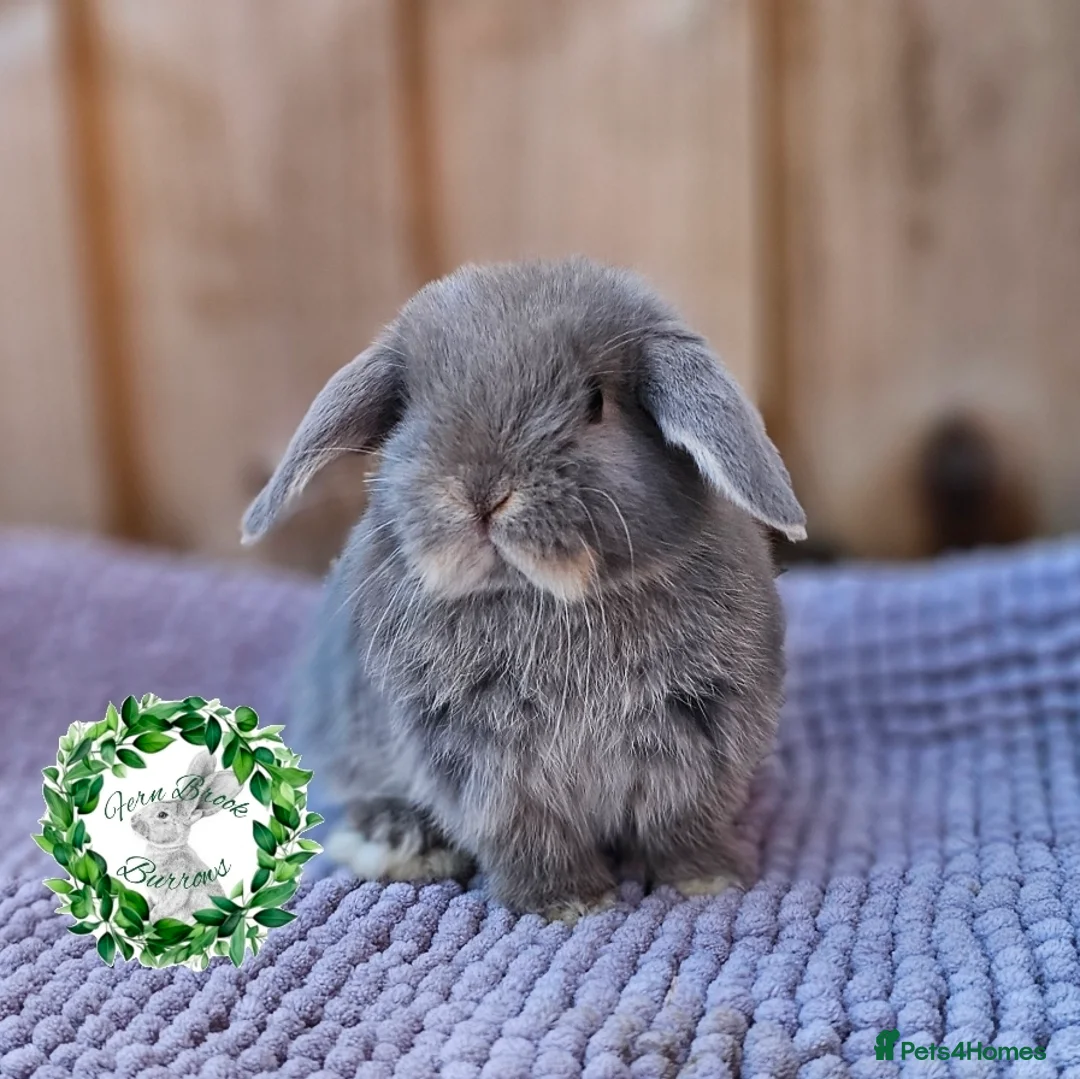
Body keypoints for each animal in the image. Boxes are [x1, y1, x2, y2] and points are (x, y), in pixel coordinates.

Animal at [130, 750, 242, 922]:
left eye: (162, 815)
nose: (133, 820)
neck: (168, 849)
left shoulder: (179, 883)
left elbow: (169, 904)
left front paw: (154, 919)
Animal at [240, 257, 806, 921]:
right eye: (408, 409)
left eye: (596, 401)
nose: (481, 492)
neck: (546, 598)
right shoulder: (486, 769)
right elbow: (528, 835)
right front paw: (569, 901)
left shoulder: (702, 739)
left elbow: (682, 824)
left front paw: (708, 879)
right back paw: (400, 844)